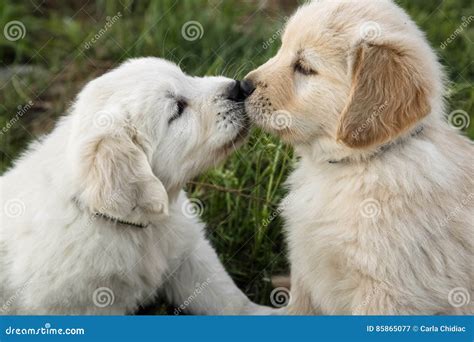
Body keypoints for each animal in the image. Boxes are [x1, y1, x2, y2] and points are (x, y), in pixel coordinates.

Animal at [243, 0, 472, 316]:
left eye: (304, 67)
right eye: (281, 49)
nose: (242, 86)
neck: (354, 167)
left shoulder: (385, 294)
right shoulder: (305, 269)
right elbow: (296, 308)